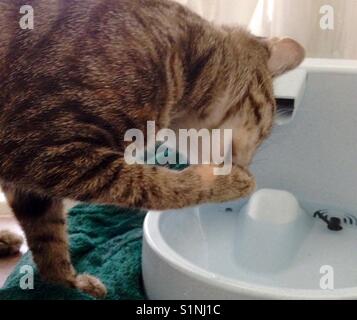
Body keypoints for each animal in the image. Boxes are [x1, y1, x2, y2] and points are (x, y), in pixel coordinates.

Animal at [0, 0, 304, 298]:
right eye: (264, 131)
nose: (248, 164)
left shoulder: (32, 183)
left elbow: (48, 237)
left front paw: (68, 283)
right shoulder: (43, 148)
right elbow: (155, 185)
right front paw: (231, 183)